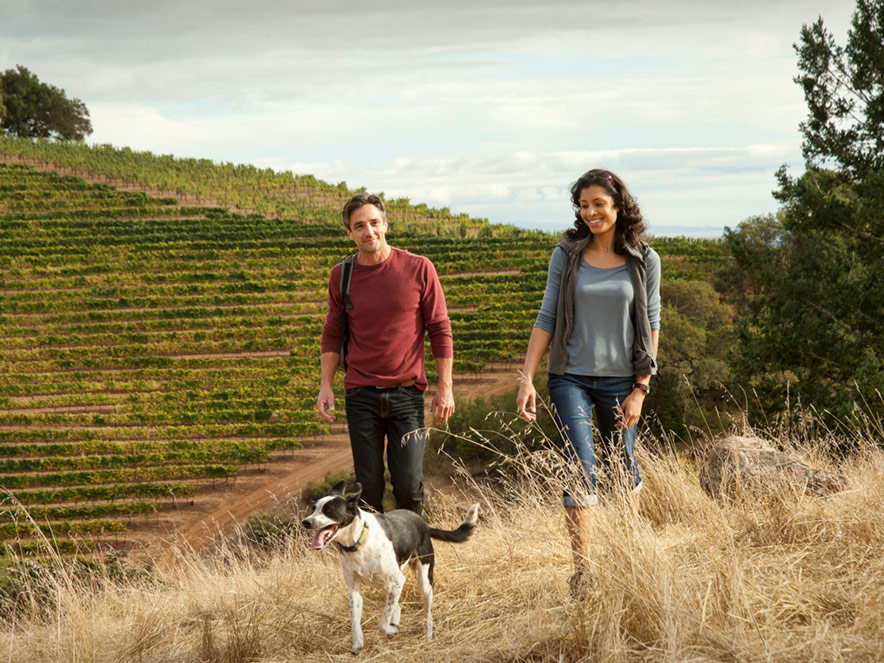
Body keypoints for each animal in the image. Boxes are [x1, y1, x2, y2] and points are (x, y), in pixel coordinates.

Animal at [306, 482, 484, 652]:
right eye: (313, 509)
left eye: (329, 510)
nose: (305, 522)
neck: (359, 540)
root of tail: (423, 523)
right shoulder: (355, 590)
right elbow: (356, 621)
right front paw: (358, 645)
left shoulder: (397, 581)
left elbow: (382, 624)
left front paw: (392, 629)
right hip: (391, 585)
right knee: (396, 606)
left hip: (424, 582)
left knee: (426, 613)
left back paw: (427, 635)